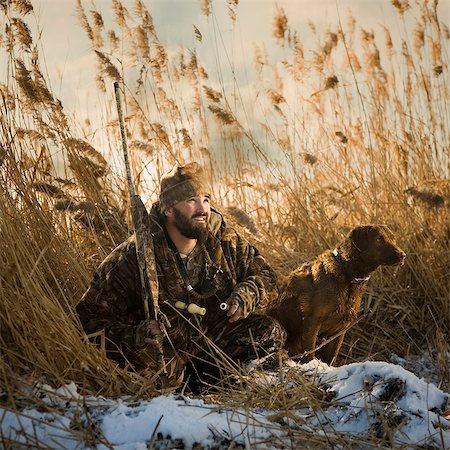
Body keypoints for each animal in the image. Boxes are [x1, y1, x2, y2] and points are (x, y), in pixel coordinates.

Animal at [266, 225, 406, 366]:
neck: (347, 274)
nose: (403, 255)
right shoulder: (311, 322)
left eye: (393, 239)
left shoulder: (340, 329)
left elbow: (331, 358)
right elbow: (309, 354)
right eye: (379, 239)